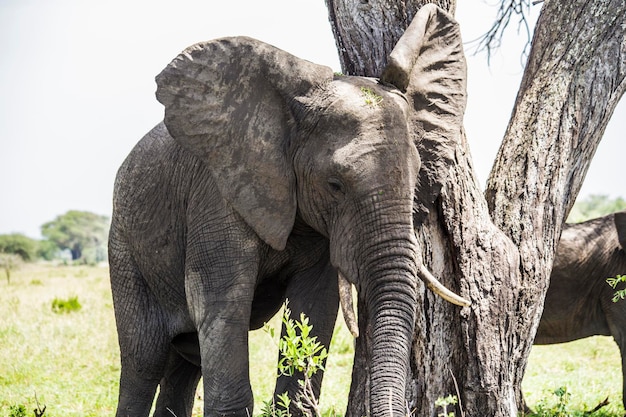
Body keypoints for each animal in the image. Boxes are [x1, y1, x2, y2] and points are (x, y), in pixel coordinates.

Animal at [108, 4, 468, 416]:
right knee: (143, 360)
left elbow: (313, 307)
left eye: (415, 179)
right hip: (124, 245)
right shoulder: (218, 194)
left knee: (185, 361)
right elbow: (220, 302)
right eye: (335, 185)